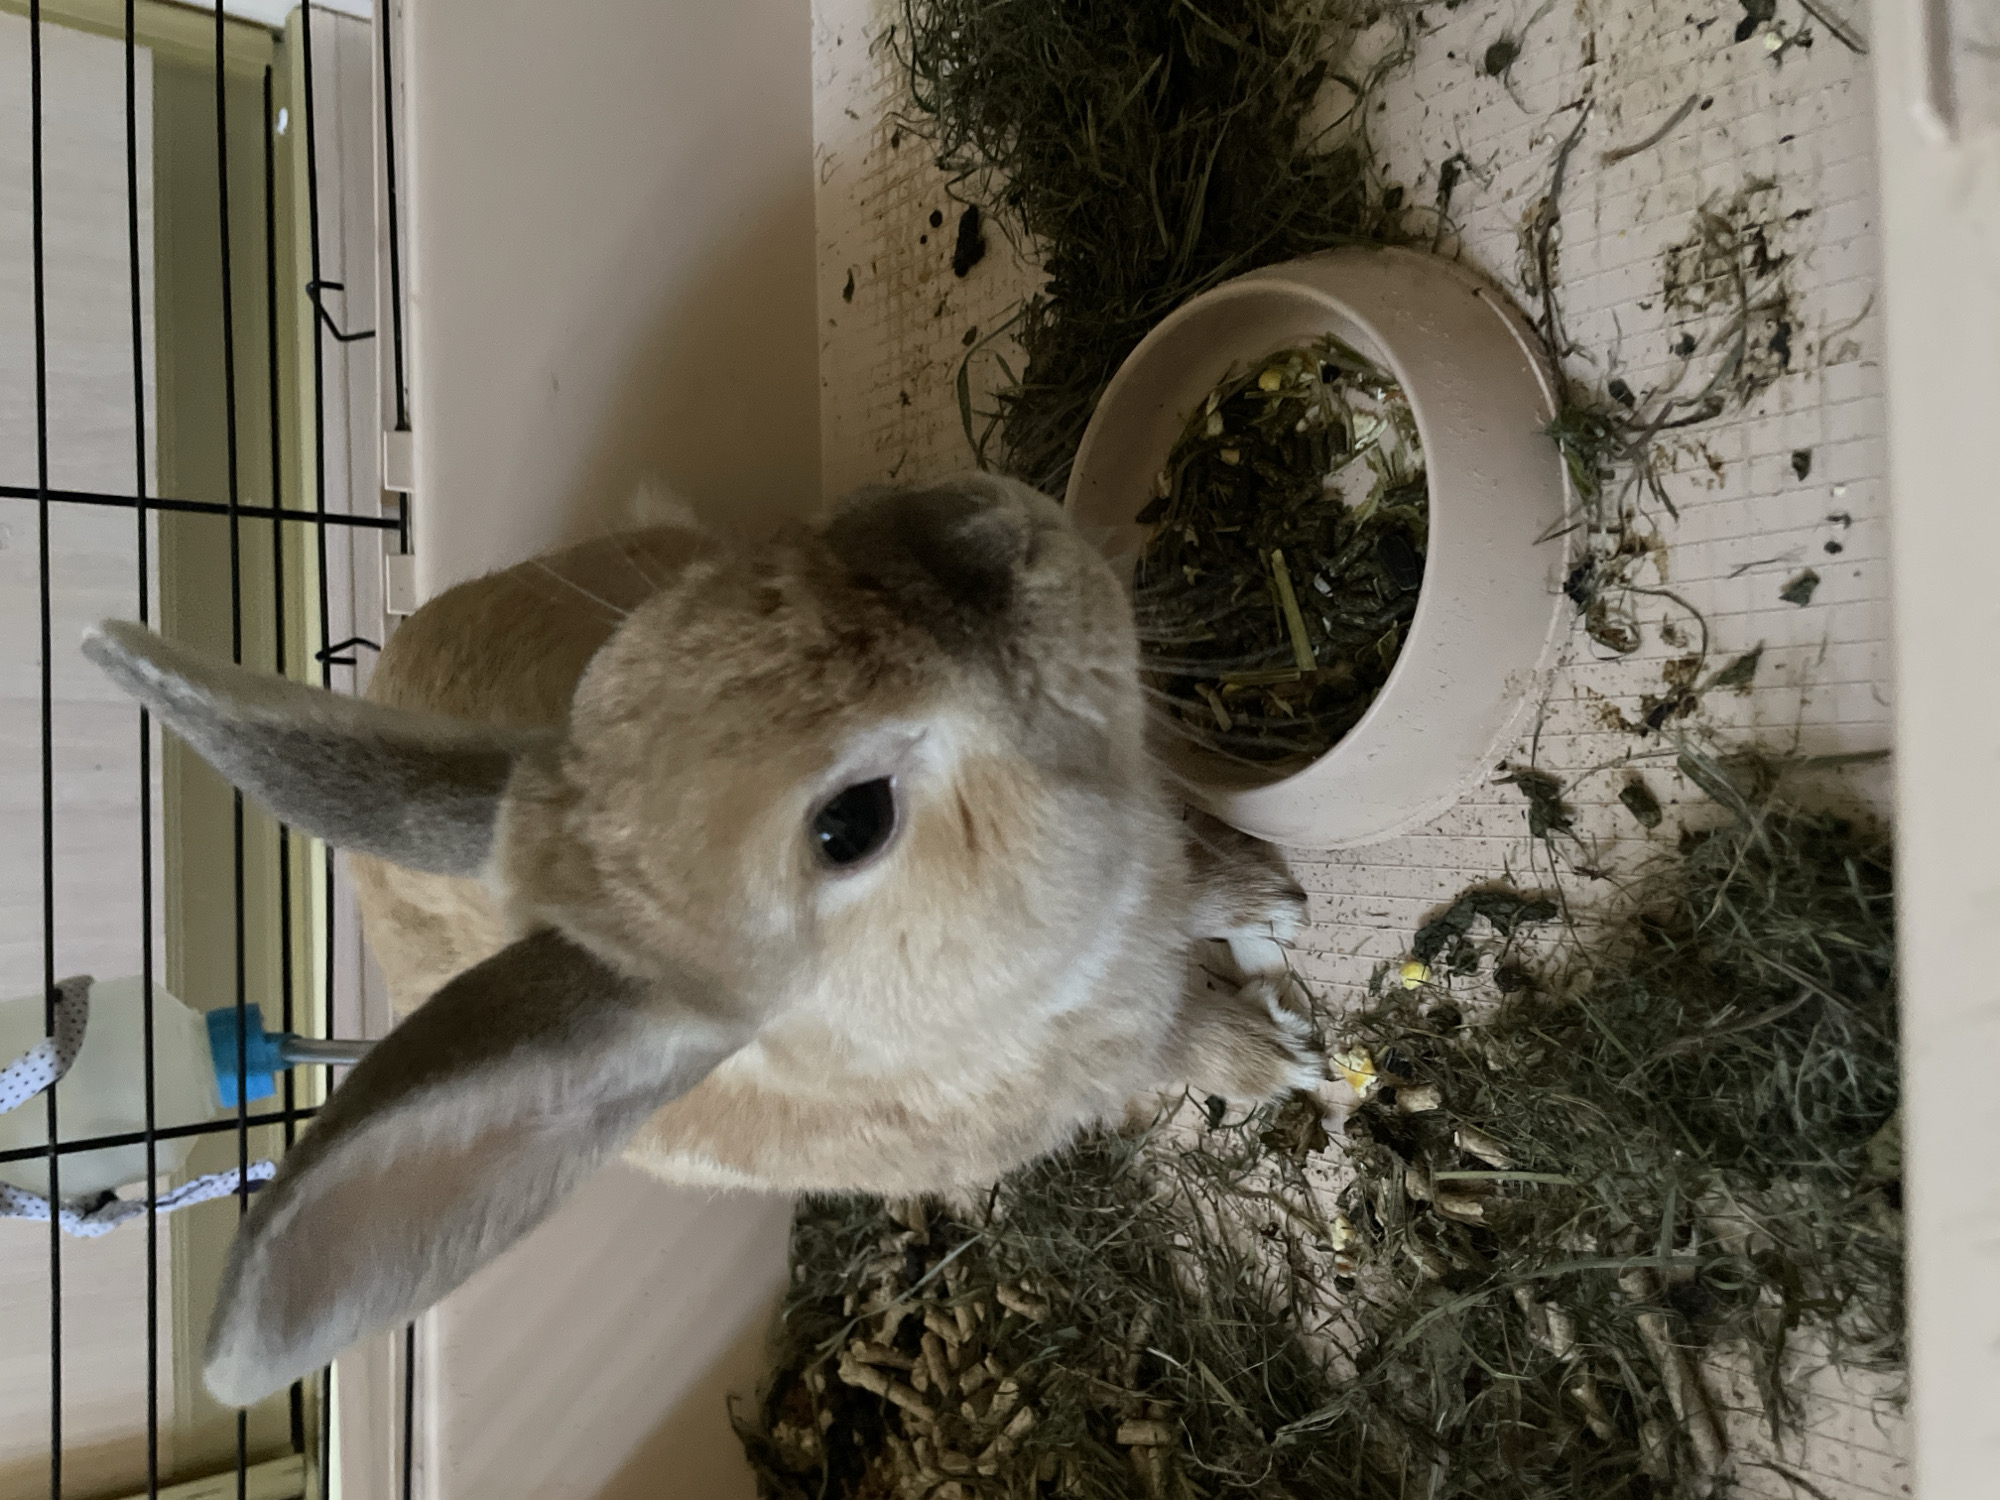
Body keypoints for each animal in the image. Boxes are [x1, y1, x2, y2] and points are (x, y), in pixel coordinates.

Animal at [82, 471, 1318, 1409]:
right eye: (850, 823)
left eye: (730, 592)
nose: (985, 534)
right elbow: (1191, 1040)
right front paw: (1283, 1060)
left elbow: (1207, 893)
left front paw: (1271, 901)